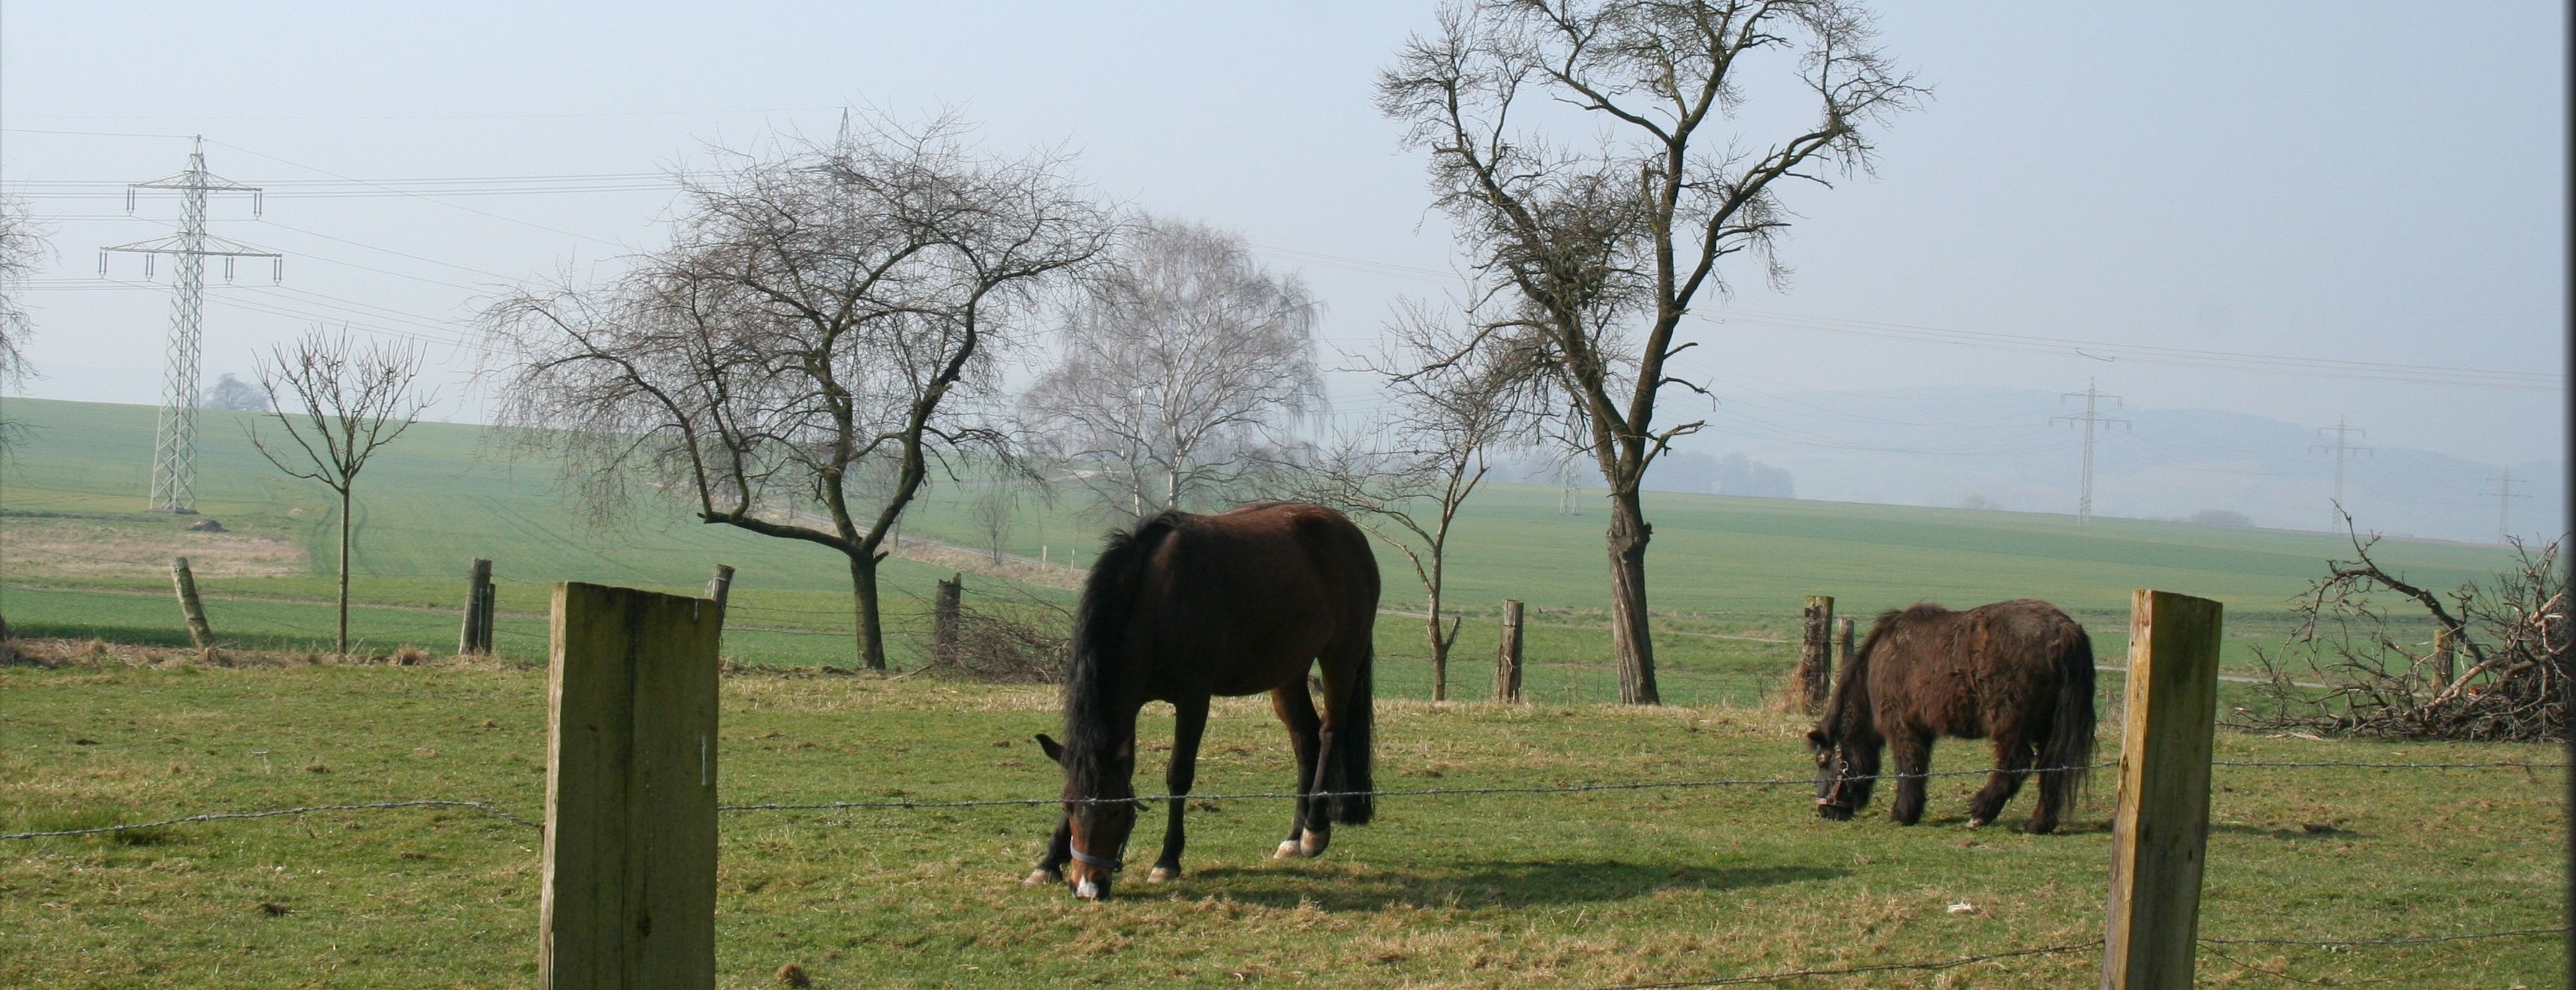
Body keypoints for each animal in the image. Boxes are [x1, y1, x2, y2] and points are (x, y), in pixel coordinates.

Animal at [1027, 501, 1379, 900]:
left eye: (1116, 812)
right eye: (1068, 807)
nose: (1087, 887)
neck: (1156, 598)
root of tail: (1348, 531)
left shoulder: (1193, 699)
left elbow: (1178, 775)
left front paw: (1167, 861)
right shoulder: (1130, 704)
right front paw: (1047, 863)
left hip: (1341, 656)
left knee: (1330, 730)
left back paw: (1315, 830)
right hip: (1289, 671)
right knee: (1305, 738)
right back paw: (1293, 837)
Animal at [1805, 599, 2097, 834]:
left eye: (1823, 760)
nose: (1825, 811)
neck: (1876, 665)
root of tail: (2065, 629)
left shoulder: (1903, 728)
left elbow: (1908, 768)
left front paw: (1902, 815)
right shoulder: (1923, 732)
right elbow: (1919, 770)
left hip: (2011, 723)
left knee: (2016, 763)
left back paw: (1980, 814)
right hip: (2049, 728)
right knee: (2052, 769)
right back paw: (2038, 824)